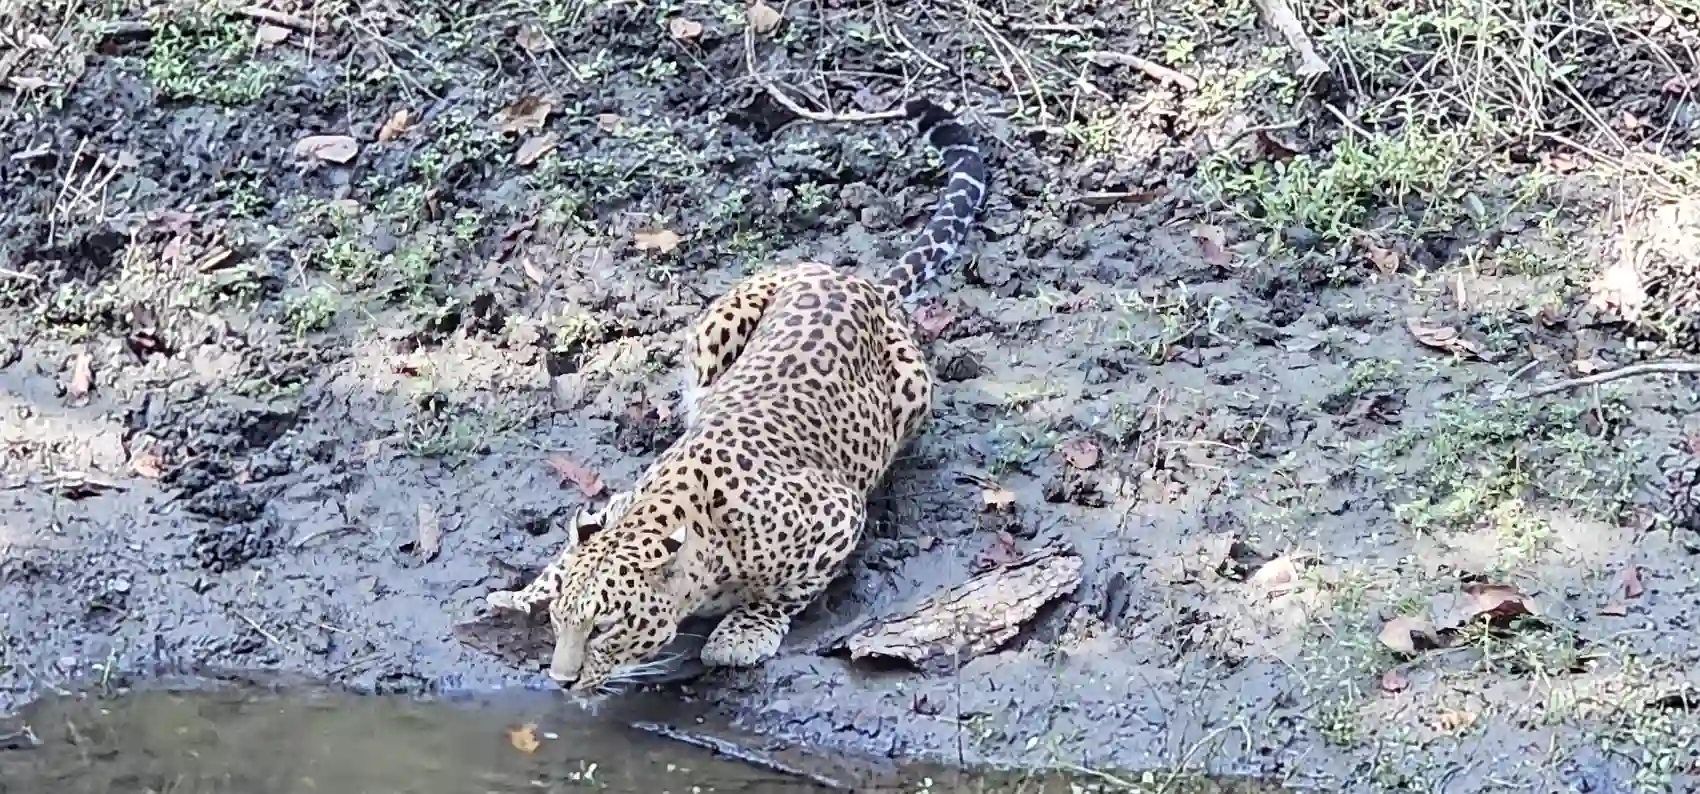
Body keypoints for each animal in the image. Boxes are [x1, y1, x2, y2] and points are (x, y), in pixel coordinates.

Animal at [484, 97, 988, 698]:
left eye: (605, 627)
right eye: (561, 621)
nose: (561, 681)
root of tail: (859, 282)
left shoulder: (840, 512)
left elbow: (784, 593)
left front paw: (743, 632)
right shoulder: (620, 504)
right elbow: (568, 555)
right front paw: (521, 594)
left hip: (913, 388)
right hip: (715, 328)